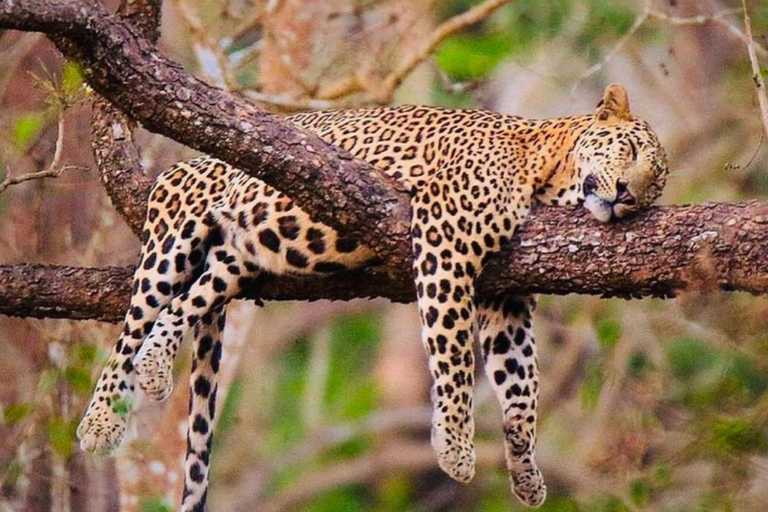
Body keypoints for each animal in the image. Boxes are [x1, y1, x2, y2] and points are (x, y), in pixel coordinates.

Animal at [77, 84, 668, 511]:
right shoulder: (445, 242)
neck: (545, 166)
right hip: (174, 233)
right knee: (134, 322)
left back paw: (157, 365)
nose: (626, 197)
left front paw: (525, 473)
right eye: (631, 150)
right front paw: (455, 446)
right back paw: (99, 422)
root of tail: (181, 166)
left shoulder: (507, 301)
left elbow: (520, 388)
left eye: (653, 189)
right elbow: (452, 352)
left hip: (239, 255)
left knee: (186, 303)